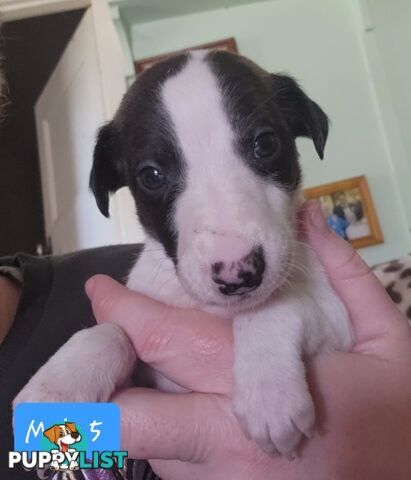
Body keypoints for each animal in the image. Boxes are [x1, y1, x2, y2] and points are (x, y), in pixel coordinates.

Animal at [15, 50, 354, 460]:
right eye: (151, 175)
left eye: (266, 143)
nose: (237, 273)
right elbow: (112, 330)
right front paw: (61, 382)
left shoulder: (338, 322)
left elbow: (276, 305)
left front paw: (269, 391)